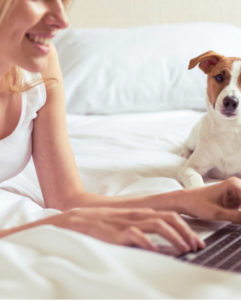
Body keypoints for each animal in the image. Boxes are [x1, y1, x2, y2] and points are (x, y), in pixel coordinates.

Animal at [177, 50, 241, 189]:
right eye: (219, 77)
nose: (230, 101)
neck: (229, 129)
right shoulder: (190, 168)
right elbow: (195, 180)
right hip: (193, 137)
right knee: (187, 144)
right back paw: (184, 152)